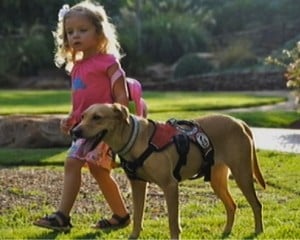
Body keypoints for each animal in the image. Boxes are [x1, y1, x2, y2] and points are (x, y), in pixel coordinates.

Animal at [72, 102, 264, 239]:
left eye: (97, 117)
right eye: (83, 116)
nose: (74, 131)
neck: (136, 139)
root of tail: (239, 122)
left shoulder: (170, 186)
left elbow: (172, 222)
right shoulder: (137, 185)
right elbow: (137, 216)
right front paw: (133, 236)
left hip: (243, 174)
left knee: (256, 204)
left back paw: (258, 231)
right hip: (217, 180)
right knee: (232, 205)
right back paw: (226, 231)